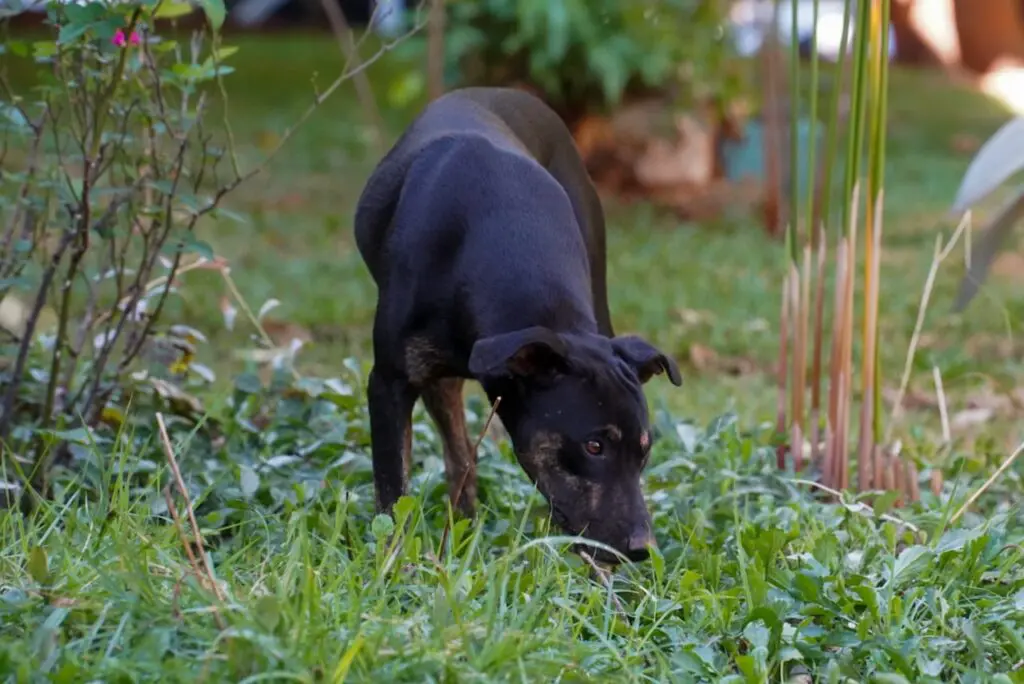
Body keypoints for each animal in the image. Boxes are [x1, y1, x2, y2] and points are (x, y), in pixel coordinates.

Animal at [352, 87, 679, 561]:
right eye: (594, 446)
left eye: (645, 450)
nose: (641, 548)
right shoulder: (389, 383)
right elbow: (392, 492)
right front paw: (393, 563)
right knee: (458, 451)